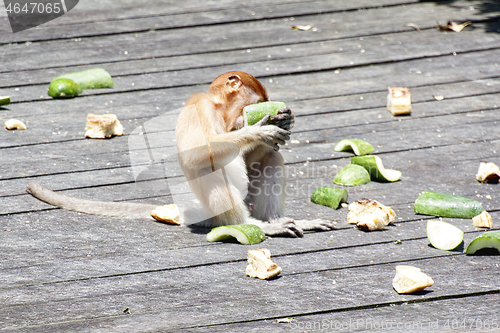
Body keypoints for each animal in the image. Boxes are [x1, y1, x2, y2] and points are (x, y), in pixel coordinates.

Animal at [25, 71, 334, 236]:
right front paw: (260, 130)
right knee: (209, 168)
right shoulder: (199, 108)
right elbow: (196, 156)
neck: (219, 111)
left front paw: (284, 121)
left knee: (271, 159)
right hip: (219, 210)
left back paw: (275, 220)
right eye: (258, 101)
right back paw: (252, 226)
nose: (267, 109)